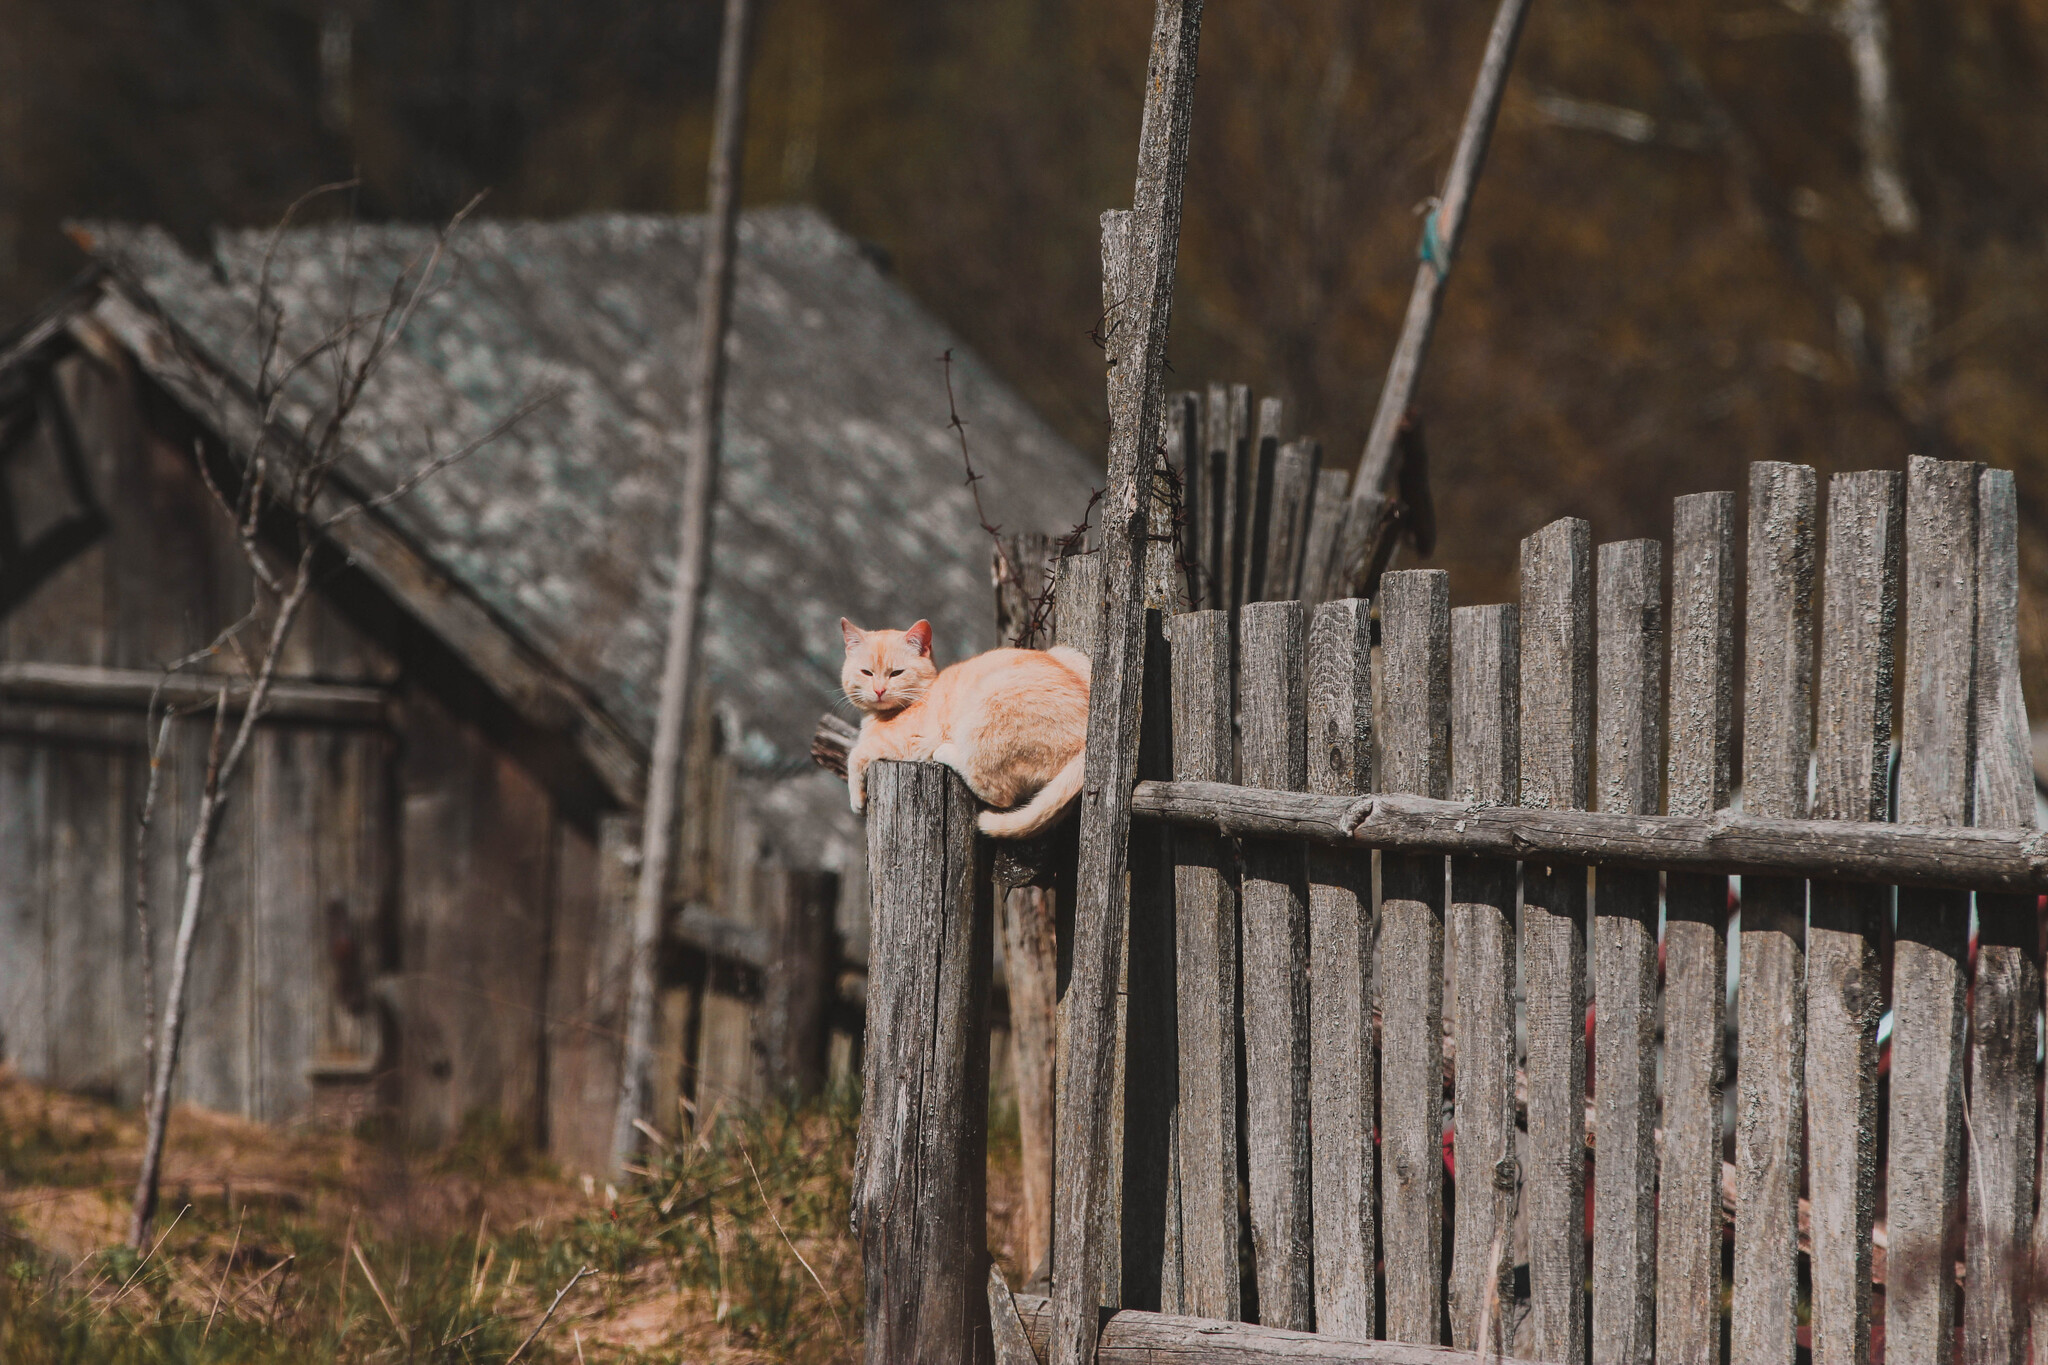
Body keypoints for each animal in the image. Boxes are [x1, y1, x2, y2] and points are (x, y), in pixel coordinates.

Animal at [835, 622, 1089, 839]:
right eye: (866, 672)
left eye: (896, 673)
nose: (879, 690)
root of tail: (1087, 742)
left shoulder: (905, 741)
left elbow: (855, 754)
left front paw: (857, 801)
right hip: (1069, 654)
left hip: (986, 707)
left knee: (998, 792)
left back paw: (946, 752)